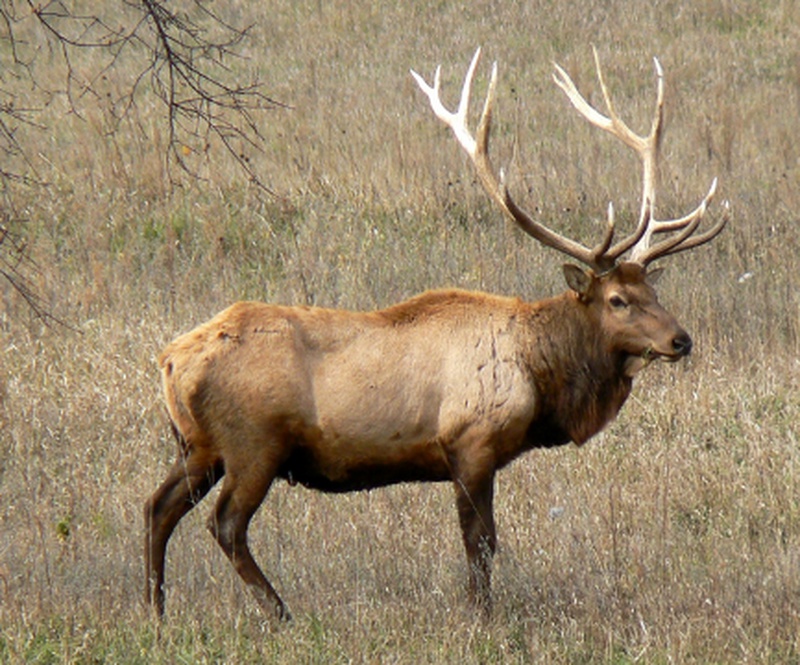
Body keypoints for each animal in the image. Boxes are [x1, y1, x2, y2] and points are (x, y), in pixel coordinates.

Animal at [144, 47, 727, 621]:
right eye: (617, 300)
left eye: (652, 289)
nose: (681, 339)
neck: (540, 376)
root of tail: (170, 360)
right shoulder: (470, 442)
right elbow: (481, 543)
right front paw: (481, 616)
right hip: (253, 442)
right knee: (225, 523)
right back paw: (279, 612)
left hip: (199, 445)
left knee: (157, 507)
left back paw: (157, 609)